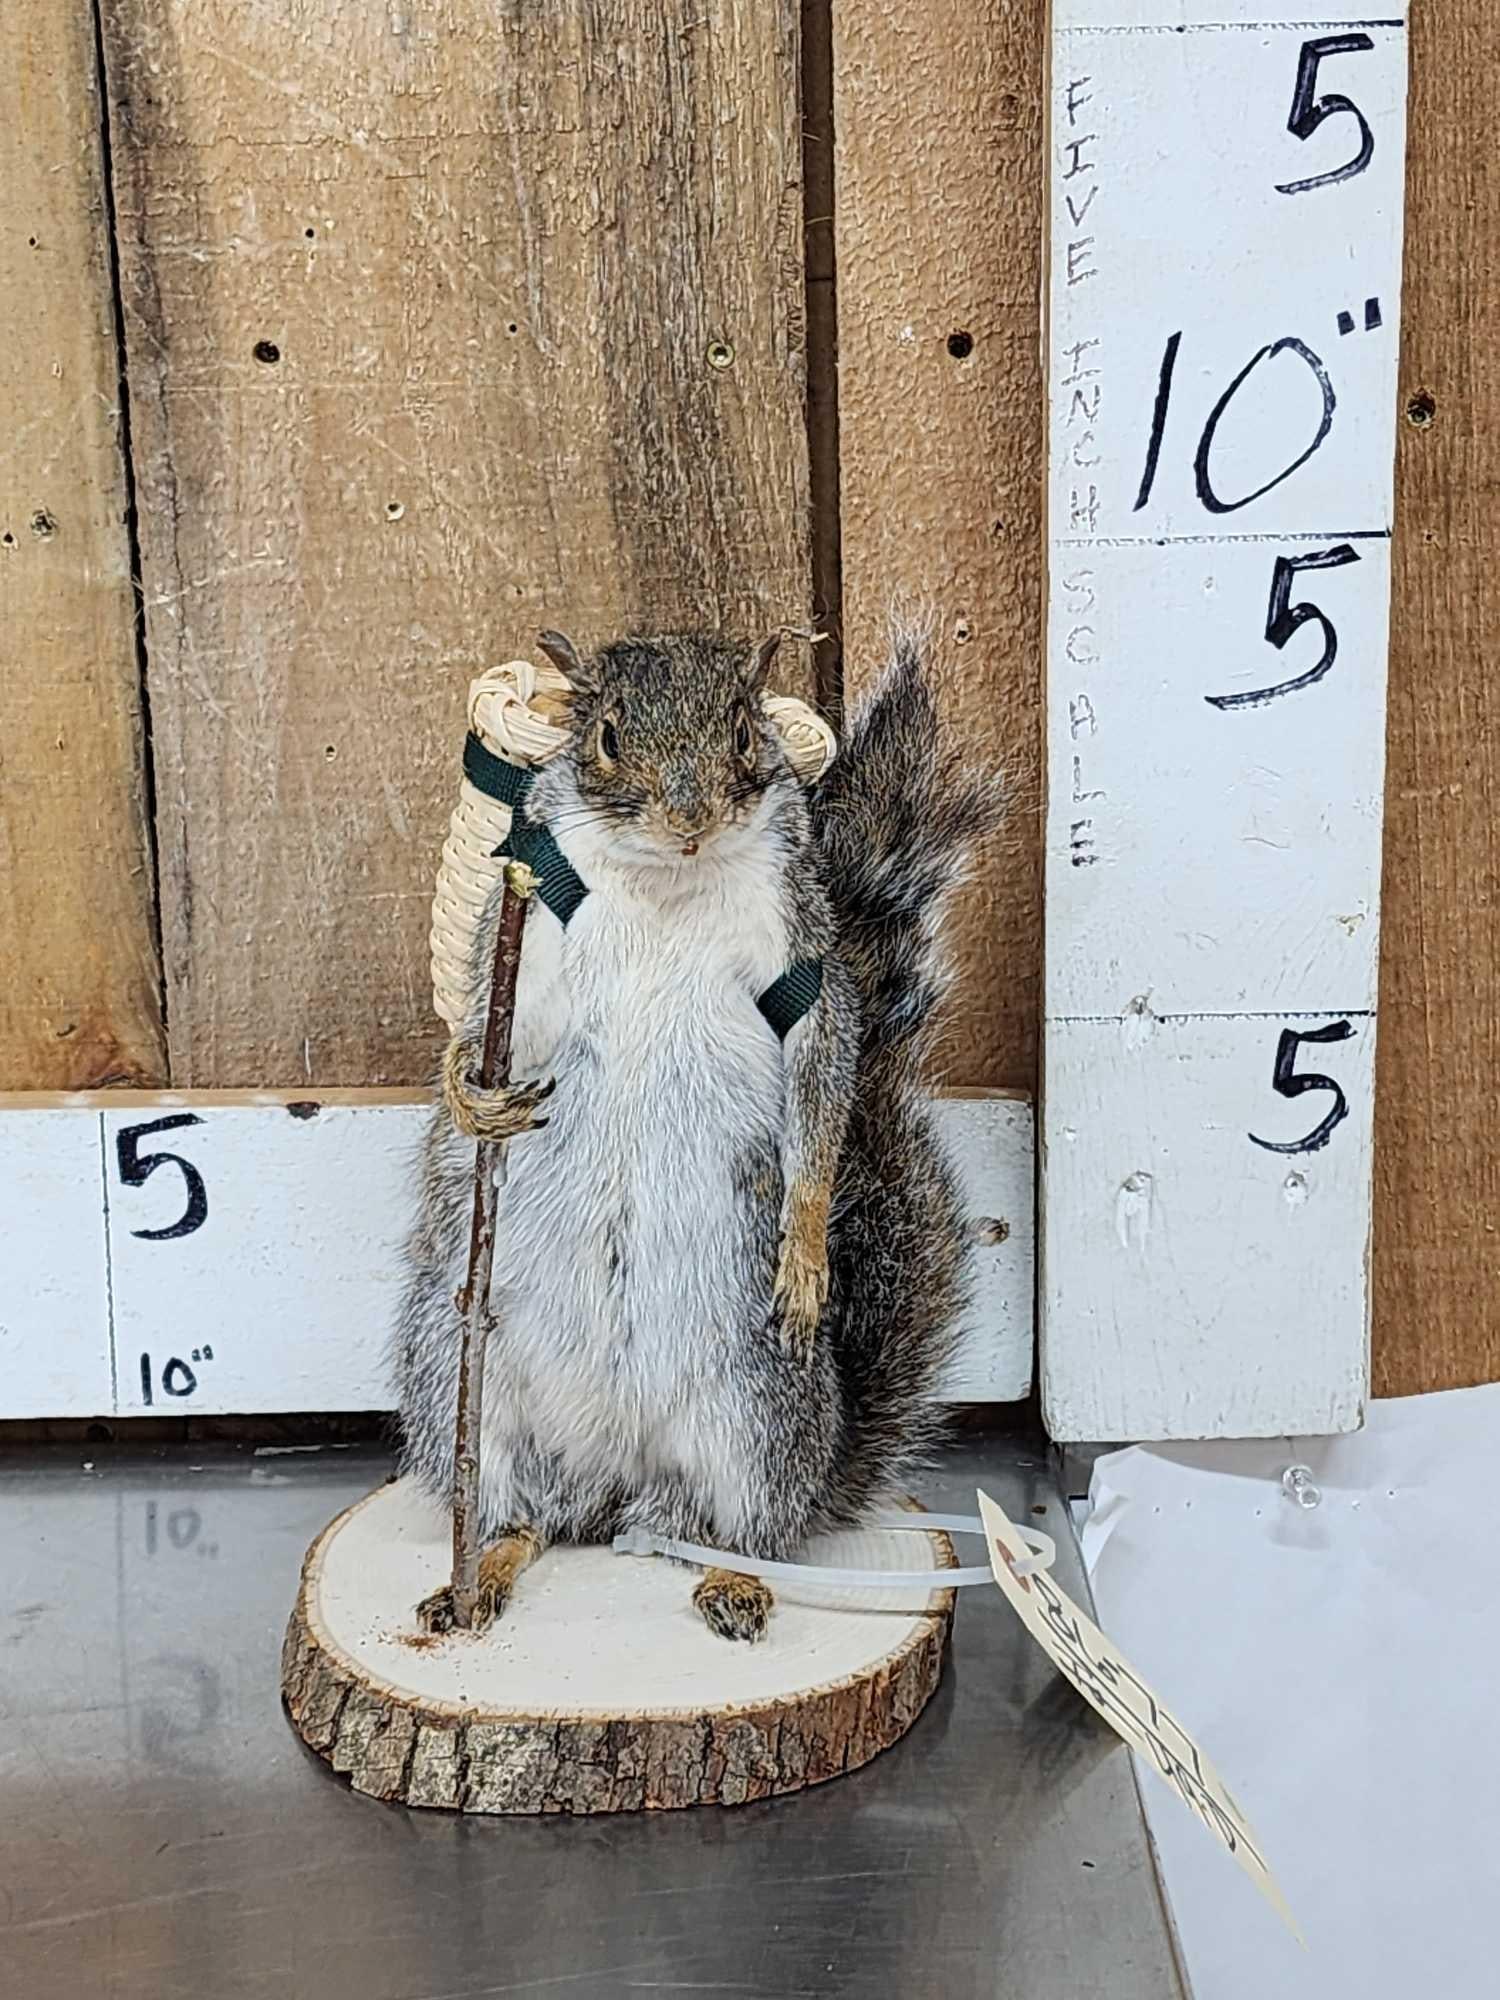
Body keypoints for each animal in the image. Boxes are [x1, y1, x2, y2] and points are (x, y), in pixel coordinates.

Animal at [391, 625, 1002, 1642]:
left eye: (745, 734)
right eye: (604, 736)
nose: (688, 818)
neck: (665, 881)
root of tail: (617, 1490)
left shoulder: (803, 964)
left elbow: (826, 1091)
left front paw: (806, 1253)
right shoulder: (528, 937)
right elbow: (485, 1018)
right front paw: (469, 1097)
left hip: (755, 1412)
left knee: (738, 1530)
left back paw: (733, 1581)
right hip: (459, 1385)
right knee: (528, 1518)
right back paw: (481, 1575)